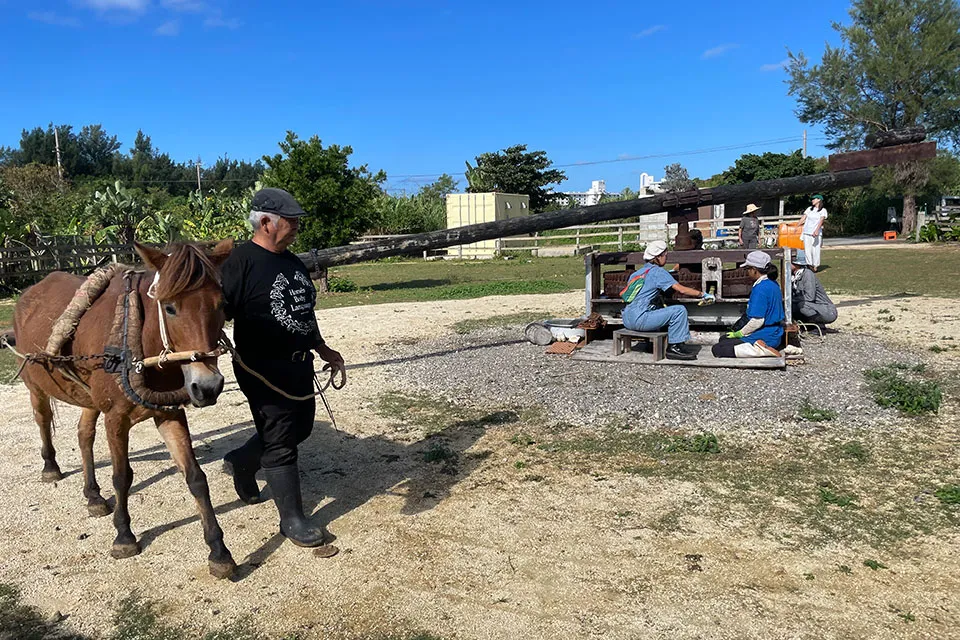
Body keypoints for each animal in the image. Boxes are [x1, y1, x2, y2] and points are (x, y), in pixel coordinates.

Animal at [11, 240, 238, 580]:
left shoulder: (169, 413)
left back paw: (93, 495)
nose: (208, 386)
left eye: (221, 304)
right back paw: (50, 467)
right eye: (169, 307)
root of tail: (28, 295)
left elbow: (195, 477)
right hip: (36, 387)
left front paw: (219, 550)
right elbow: (121, 477)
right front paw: (124, 536)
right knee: (43, 420)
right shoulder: (115, 419)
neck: (137, 343)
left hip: (89, 399)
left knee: (84, 435)